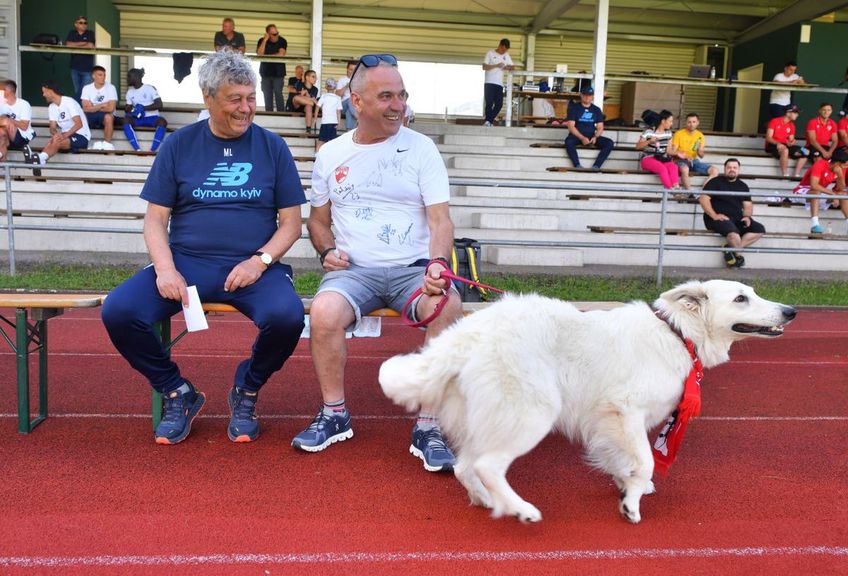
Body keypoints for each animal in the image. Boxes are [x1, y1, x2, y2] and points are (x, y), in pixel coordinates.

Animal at [380, 282, 800, 524]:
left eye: (753, 293)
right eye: (741, 298)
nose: (791, 311)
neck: (677, 333)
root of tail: (466, 336)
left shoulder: (607, 421)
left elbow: (622, 460)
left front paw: (627, 485)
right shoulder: (625, 410)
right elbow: (646, 461)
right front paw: (632, 504)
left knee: (467, 466)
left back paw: (488, 501)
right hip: (531, 414)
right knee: (486, 465)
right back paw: (521, 509)